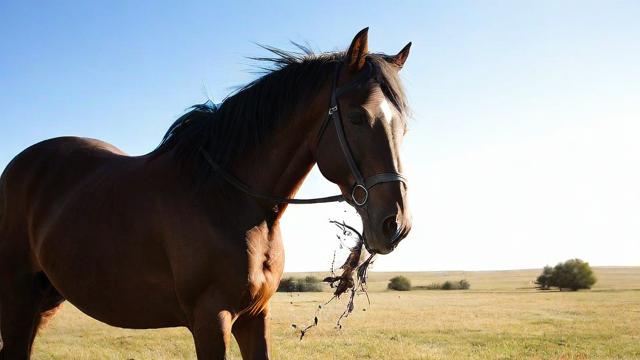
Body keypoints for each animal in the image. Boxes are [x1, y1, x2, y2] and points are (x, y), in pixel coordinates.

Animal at [0, 28, 412, 360]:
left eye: (402, 126)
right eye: (358, 117)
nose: (395, 224)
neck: (227, 199)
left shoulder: (254, 318)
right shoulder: (211, 320)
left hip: (44, 298)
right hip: (18, 298)